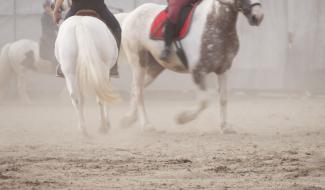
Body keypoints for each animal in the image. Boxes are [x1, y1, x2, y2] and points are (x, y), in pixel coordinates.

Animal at [119, 0, 264, 133]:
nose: (258, 16)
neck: (216, 21)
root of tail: (131, 15)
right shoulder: (198, 71)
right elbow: (204, 101)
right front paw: (181, 118)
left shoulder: (223, 69)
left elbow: (223, 99)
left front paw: (225, 126)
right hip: (138, 62)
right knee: (138, 91)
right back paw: (146, 125)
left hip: (155, 67)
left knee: (136, 89)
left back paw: (128, 119)